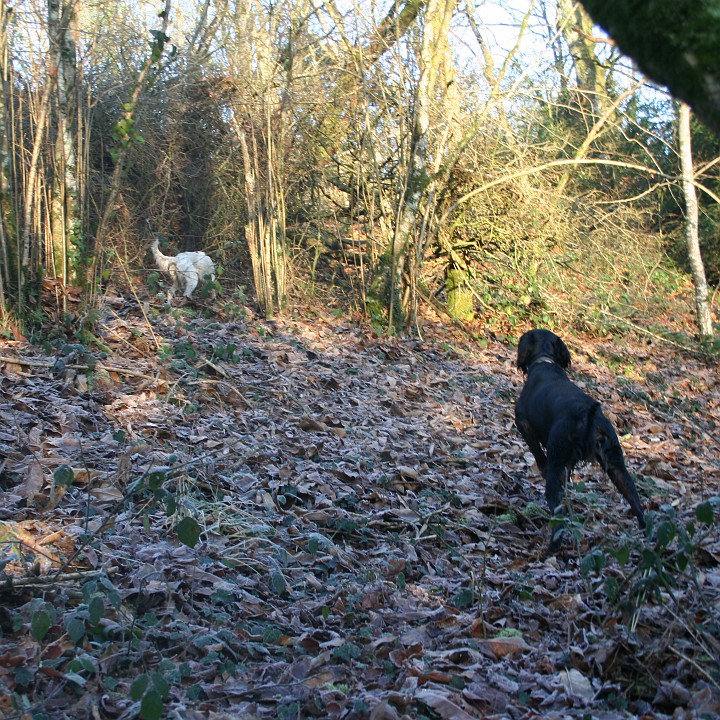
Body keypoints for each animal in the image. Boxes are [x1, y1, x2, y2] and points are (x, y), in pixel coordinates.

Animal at [516, 330, 644, 544]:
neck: (544, 362)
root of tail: (587, 416)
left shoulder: (523, 424)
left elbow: (537, 453)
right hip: (616, 464)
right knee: (637, 503)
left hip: (558, 458)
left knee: (557, 512)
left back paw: (553, 544)